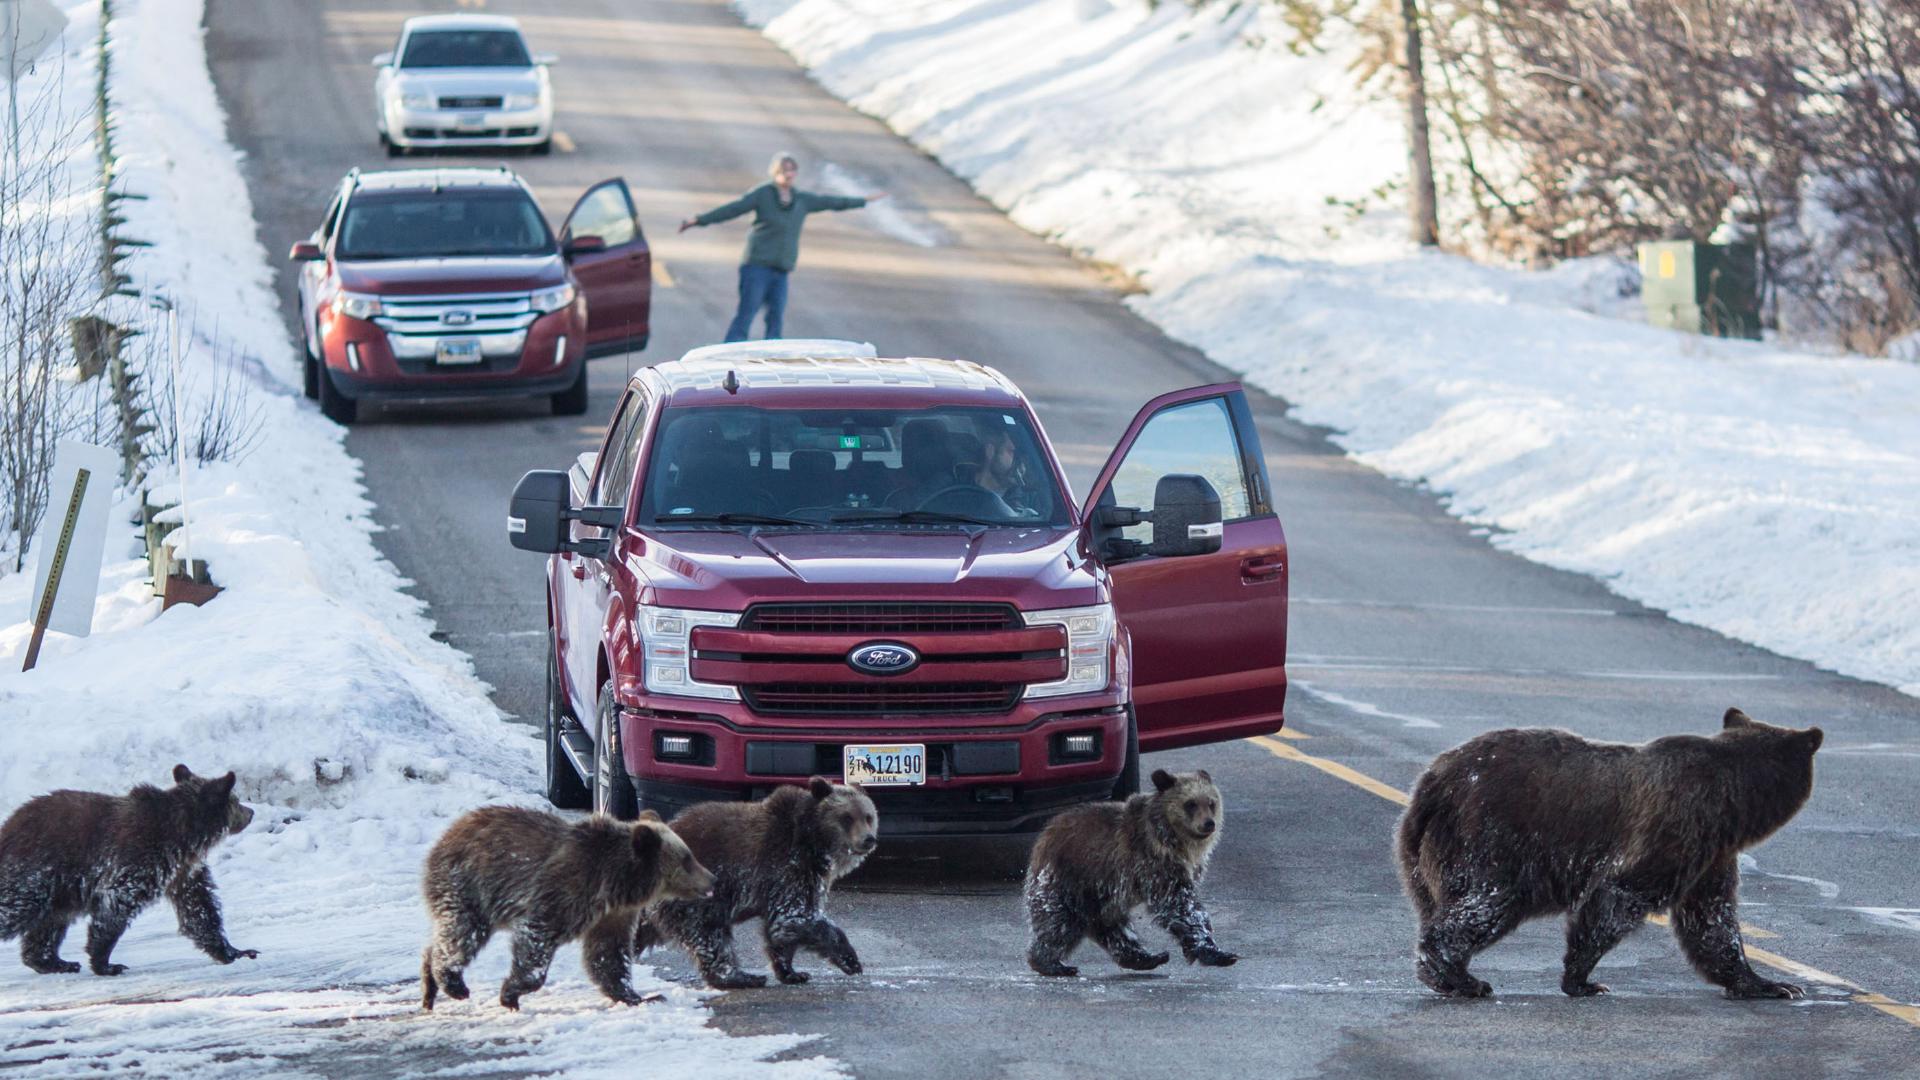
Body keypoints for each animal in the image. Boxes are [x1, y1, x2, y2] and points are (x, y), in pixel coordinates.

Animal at [0, 764, 257, 977]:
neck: (183, 835)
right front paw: (106, 963)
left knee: (51, 922)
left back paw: (56, 962)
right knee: (16, 906)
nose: (251, 812)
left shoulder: (181, 872)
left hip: (60, 889)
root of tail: (8, 824)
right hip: (37, 870)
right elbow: (118, 904)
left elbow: (200, 910)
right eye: (236, 800)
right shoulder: (139, 858)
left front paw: (237, 951)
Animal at [419, 806, 715, 1011]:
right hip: (470, 886)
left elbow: (608, 954)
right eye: (687, 859)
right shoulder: (563, 891)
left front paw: (639, 996)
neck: (616, 883)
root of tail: (446, 834)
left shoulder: (612, 915)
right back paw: (453, 983)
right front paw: (511, 994)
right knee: (463, 935)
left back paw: (430, 985)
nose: (712, 879)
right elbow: (536, 941)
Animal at [633, 777, 877, 989]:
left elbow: (782, 930)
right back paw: (741, 977)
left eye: (868, 816)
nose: (868, 839)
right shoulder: (788, 867)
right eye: (847, 817)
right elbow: (796, 916)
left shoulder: (804, 876)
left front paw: (792, 972)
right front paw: (851, 960)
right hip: (696, 892)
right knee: (709, 934)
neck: (813, 842)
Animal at [1023, 768, 1237, 977]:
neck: (1177, 842)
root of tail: (1044, 834)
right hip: (1072, 878)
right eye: (1190, 804)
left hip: (1101, 895)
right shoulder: (1153, 863)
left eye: (1211, 803)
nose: (1209, 823)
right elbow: (1181, 905)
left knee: (1113, 927)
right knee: (1059, 920)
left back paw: (1148, 957)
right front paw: (1214, 952)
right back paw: (1051, 963)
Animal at [1396, 707, 1823, 1000]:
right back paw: (1461, 977)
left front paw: (1768, 983)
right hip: (1490, 836)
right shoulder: (1677, 829)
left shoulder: (1711, 856)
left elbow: (1712, 921)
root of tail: (1432, 782)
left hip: (1421, 857)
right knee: (1486, 903)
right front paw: (1583, 979)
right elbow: (1620, 896)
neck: (1733, 805)